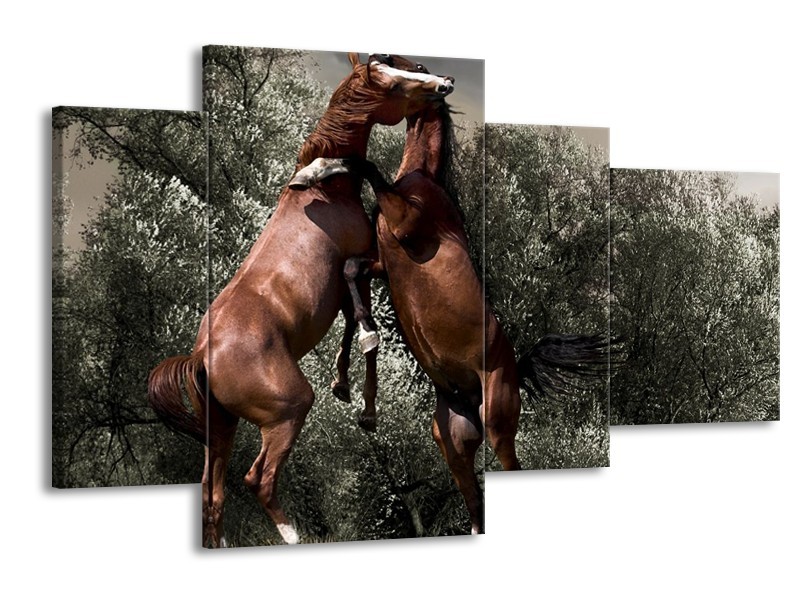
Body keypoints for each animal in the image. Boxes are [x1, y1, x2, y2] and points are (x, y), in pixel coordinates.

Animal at [147, 52, 455, 547]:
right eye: (393, 82)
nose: (443, 83)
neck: (322, 191)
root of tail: (200, 357)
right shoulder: (361, 263)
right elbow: (366, 329)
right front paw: (363, 402)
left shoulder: (346, 285)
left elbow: (351, 328)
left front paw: (346, 388)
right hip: (286, 413)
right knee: (258, 479)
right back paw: (294, 536)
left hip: (222, 431)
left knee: (213, 496)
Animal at [342, 79, 609, 534]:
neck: (421, 180)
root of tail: (516, 367)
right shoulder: (382, 262)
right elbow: (350, 267)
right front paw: (363, 347)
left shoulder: (406, 225)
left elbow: (369, 168)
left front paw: (325, 166)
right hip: (452, 441)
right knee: (474, 505)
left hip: (498, 426)